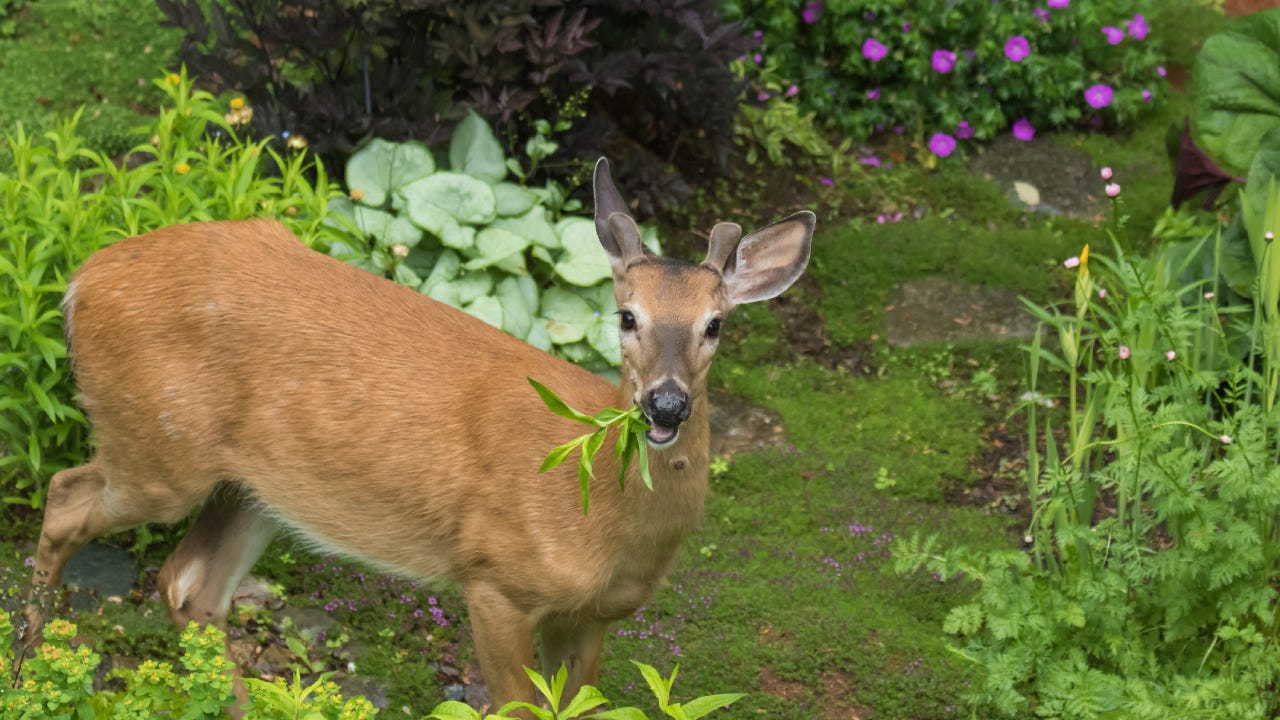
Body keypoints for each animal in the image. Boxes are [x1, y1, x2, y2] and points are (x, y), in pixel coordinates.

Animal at [20, 156, 808, 712]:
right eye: (627, 316)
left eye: (716, 324)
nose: (665, 407)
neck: (603, 520)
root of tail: (79, 281)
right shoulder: (494, 576)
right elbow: (518, 710)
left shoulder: (594, 615)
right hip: (157, 448)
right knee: (64, 500)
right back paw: (28, 665)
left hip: (254, 487)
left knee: (188, 586)